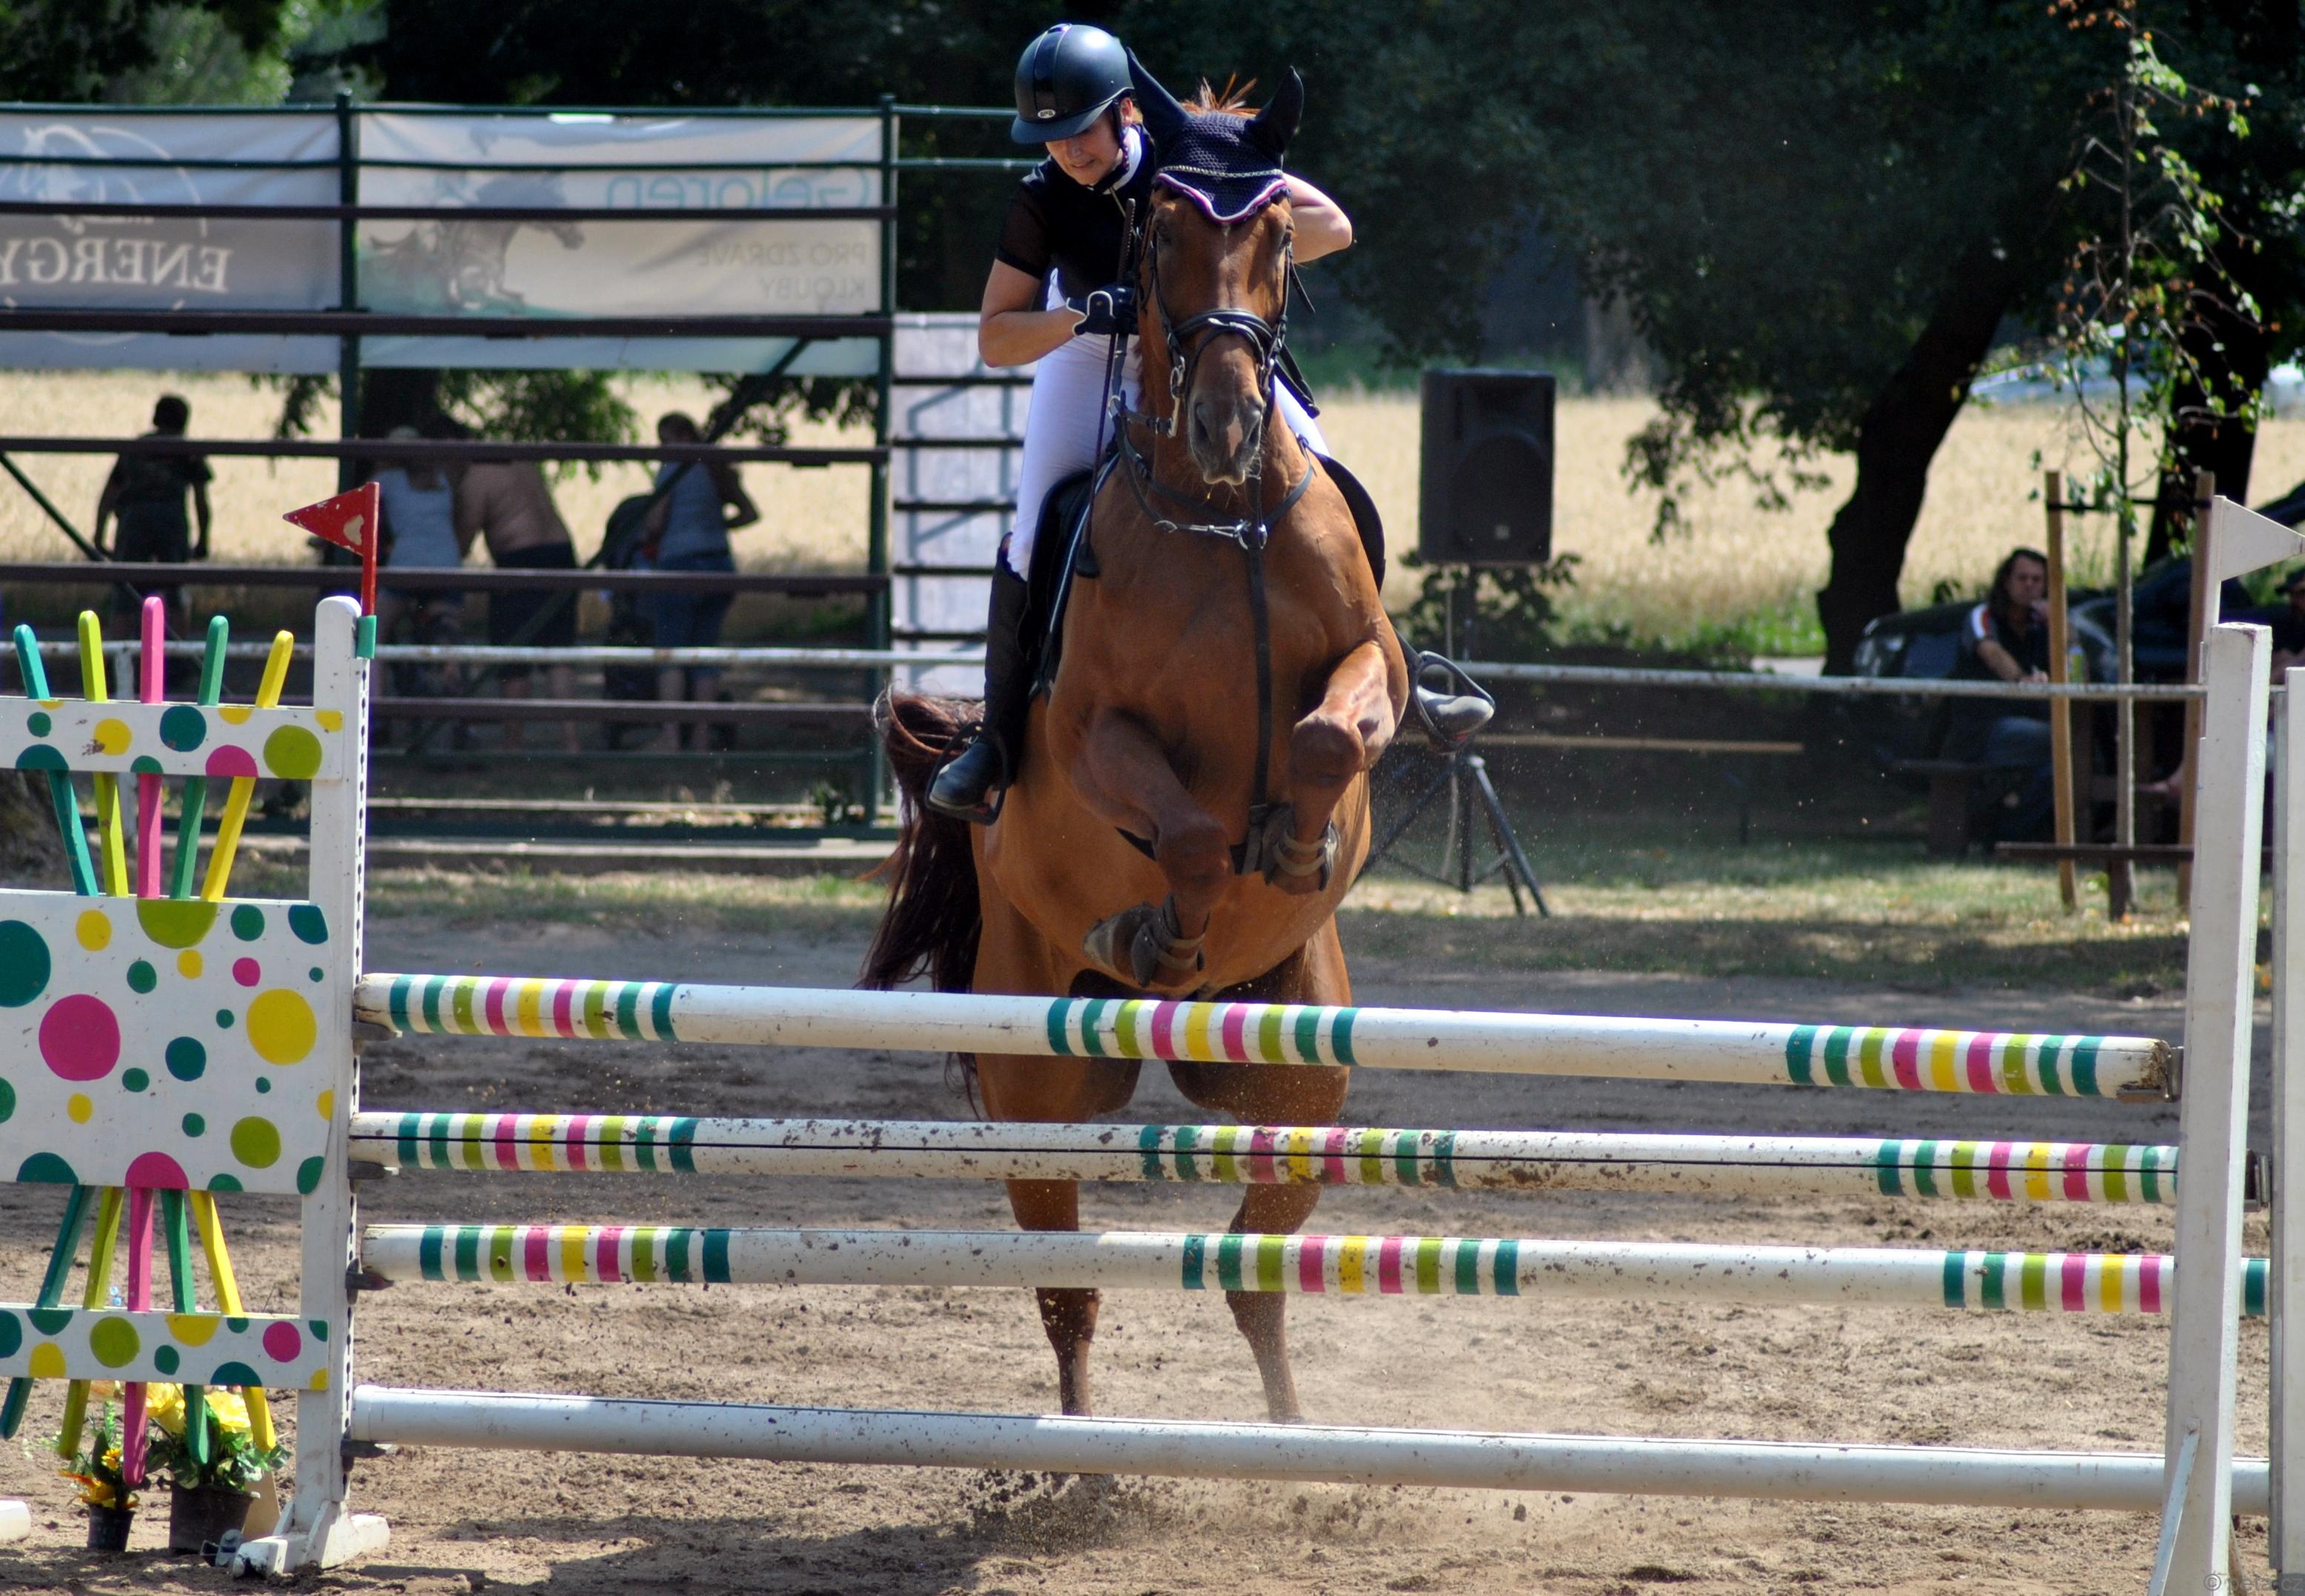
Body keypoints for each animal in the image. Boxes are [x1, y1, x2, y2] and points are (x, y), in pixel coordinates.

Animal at [866, 69, 1406, 1423]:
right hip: (1038, 1081)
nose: (1224, 423)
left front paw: (1299, 841)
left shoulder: (1374, 666)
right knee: (1070, 1289)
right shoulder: (1093, 736)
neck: (1226, 519)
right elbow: (1194, 829)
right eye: (1155, 237)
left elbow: (1329, 733)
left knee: (1254, 1271)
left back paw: (1291, 1436)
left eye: (1278, 232)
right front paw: (1156, 922)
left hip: (1299, 1078)